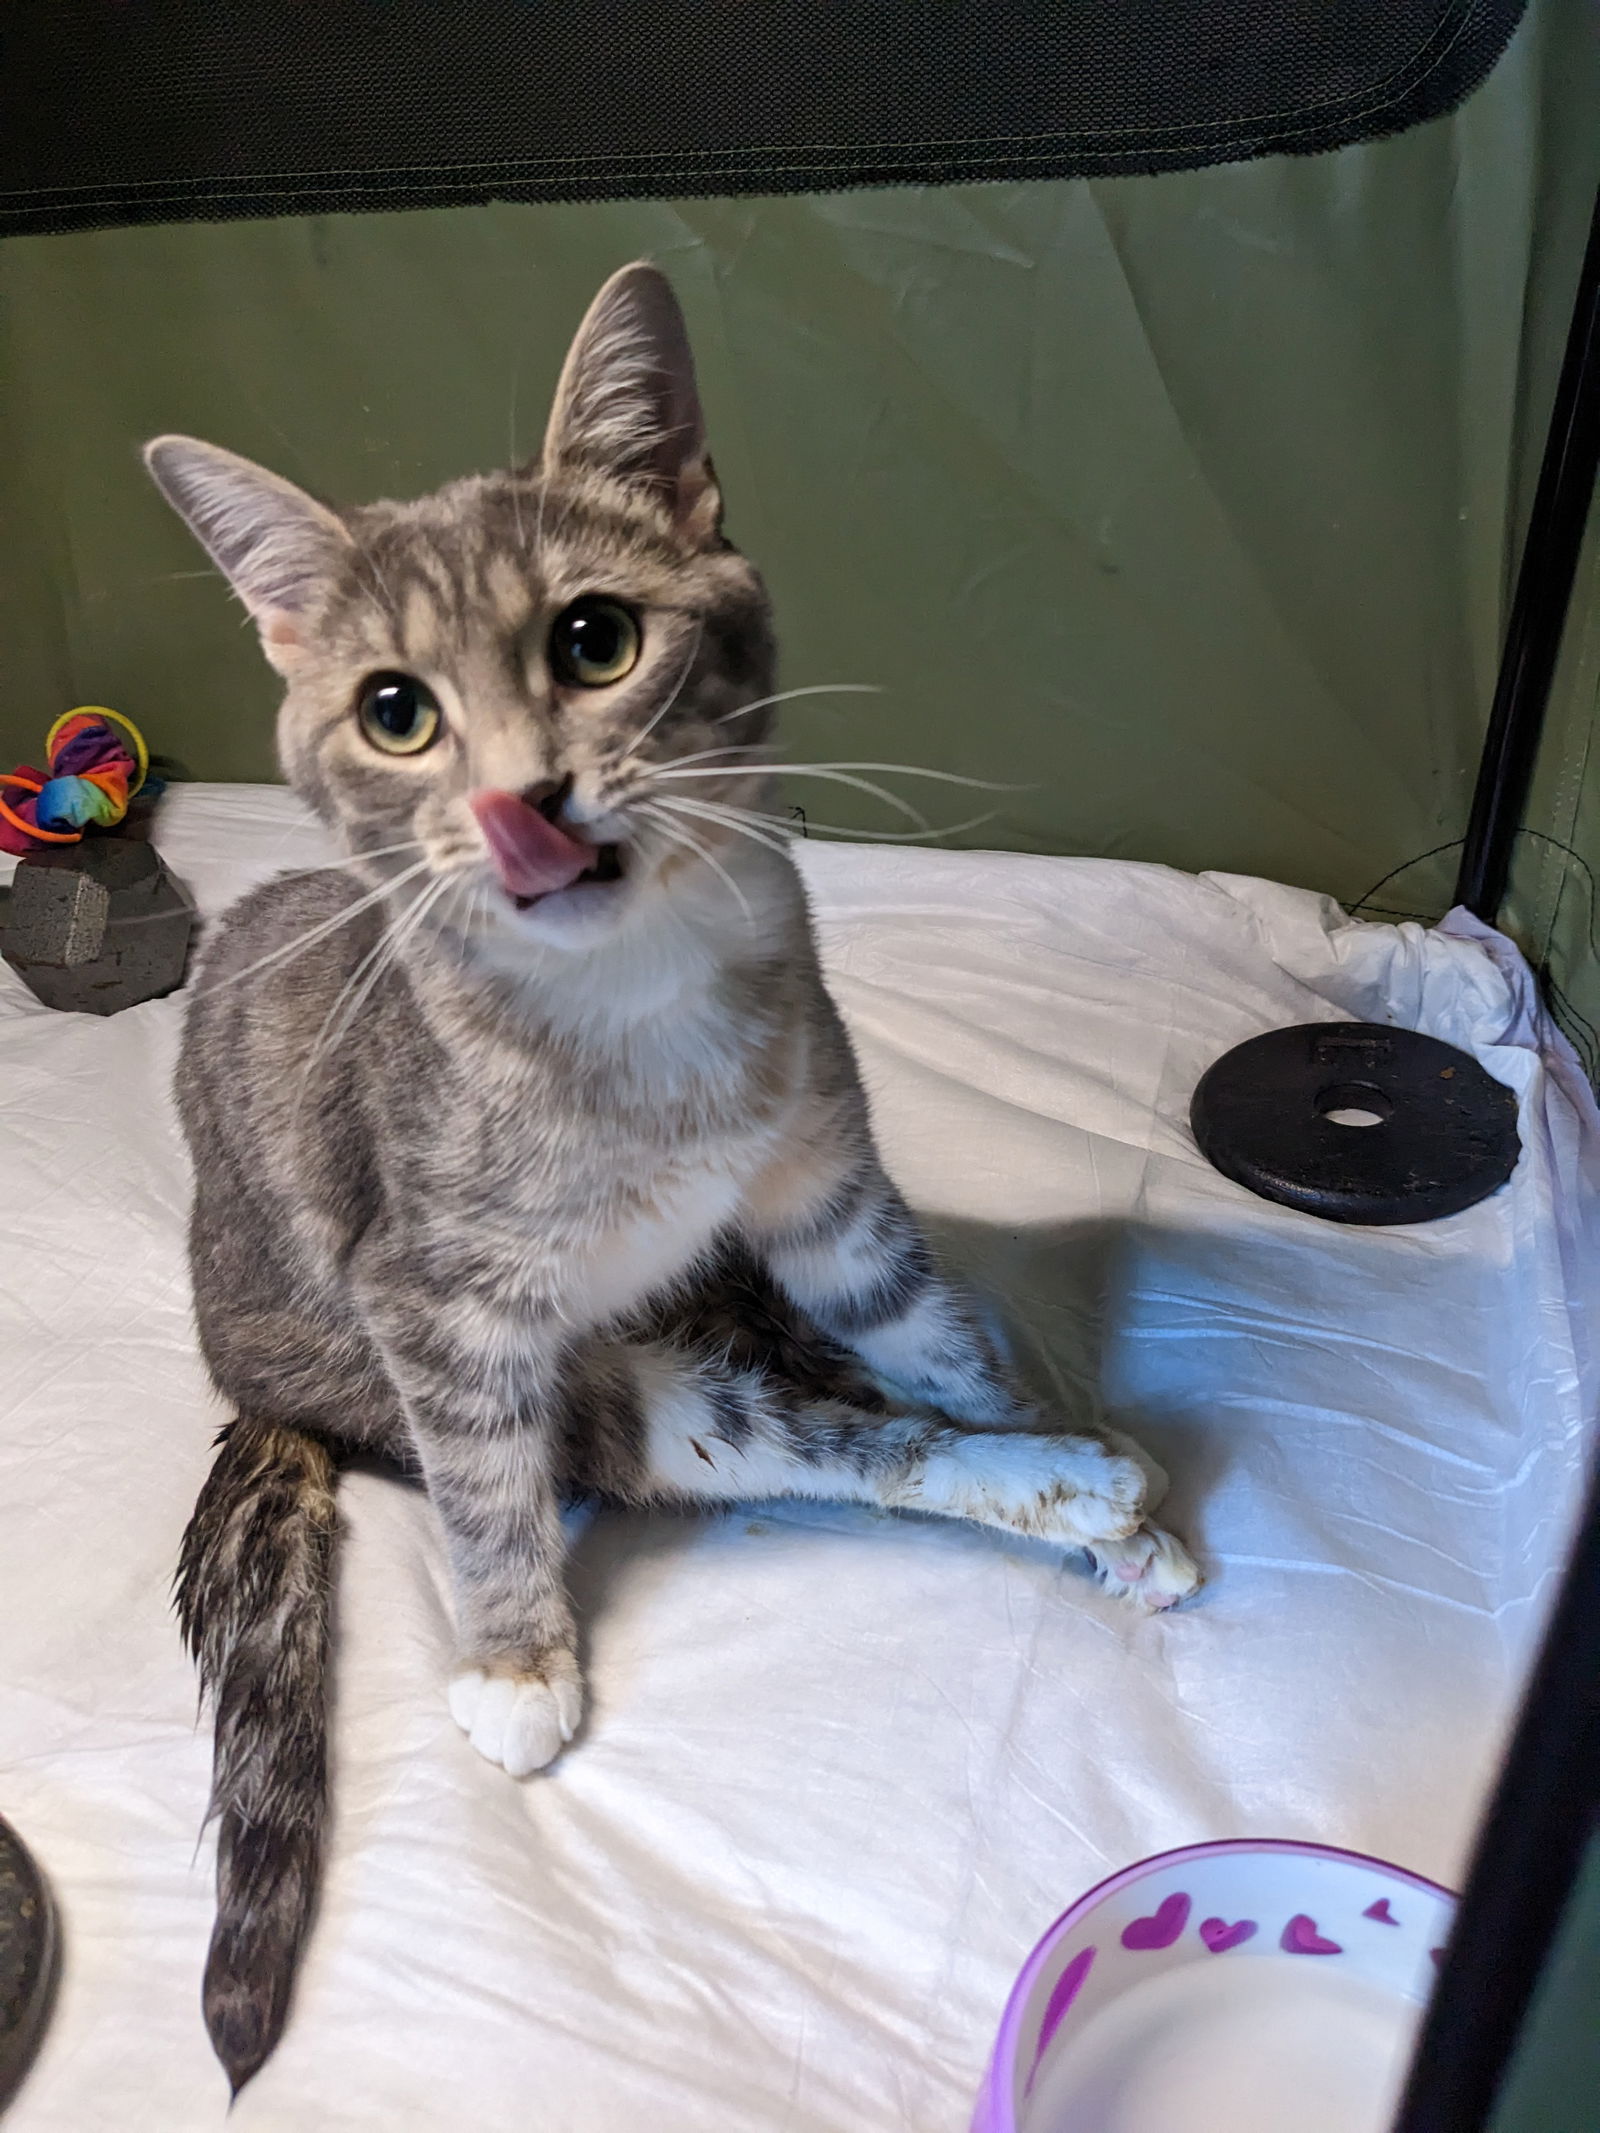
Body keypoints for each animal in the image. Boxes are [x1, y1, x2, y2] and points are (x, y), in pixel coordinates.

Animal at [150, 258, 1203, 2090]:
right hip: (588, 1391)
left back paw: (1087, 1489)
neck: (632, 1005)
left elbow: (933, 1332)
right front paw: (516, 1663)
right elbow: (488, 1485)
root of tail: (249, 1385)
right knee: (791, 1435)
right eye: (394, 710)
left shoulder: (826, 1185)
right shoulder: (433, 1299)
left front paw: (1041, 1427)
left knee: (856, 1399)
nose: (526, 799)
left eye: (597, 637)